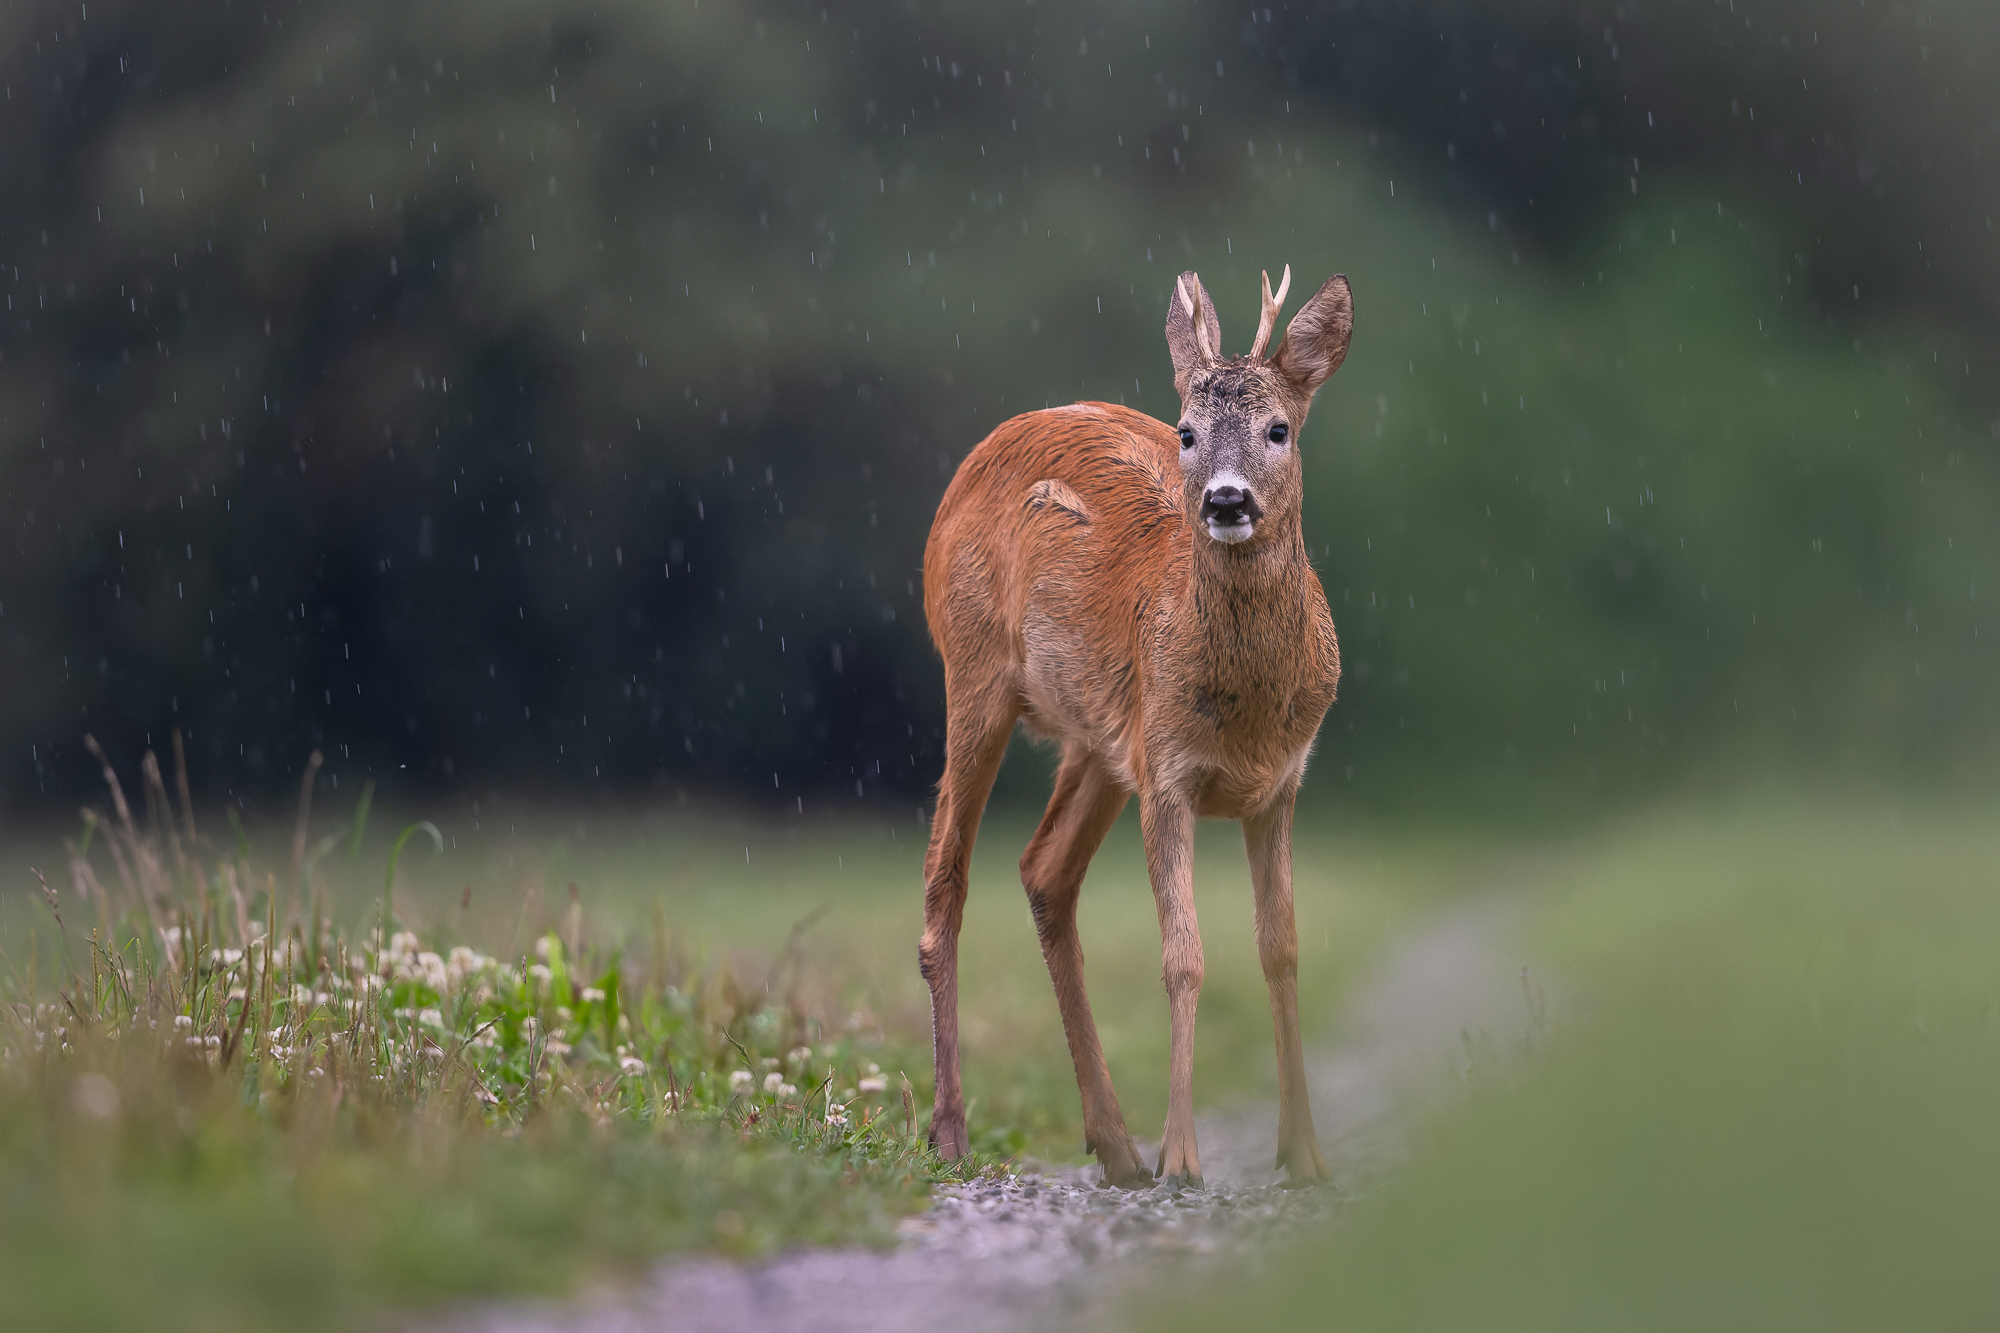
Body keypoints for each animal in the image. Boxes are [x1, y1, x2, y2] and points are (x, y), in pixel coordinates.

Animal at [916, 264, 1352, 1176]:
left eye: (1279, 429)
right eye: (1186, 432)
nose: (1226, 500)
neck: (1246, 712)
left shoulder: (1279, 782)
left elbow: (1281, 949)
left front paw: (1304, 1153)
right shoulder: (1170, 774)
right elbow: (1184, 956)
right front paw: (1182, 1158)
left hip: (1099, 739)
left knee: (1044, 869)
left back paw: (1114, 1144)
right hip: (973, 671)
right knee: (946, 881)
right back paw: (953, 1132)